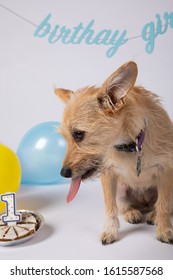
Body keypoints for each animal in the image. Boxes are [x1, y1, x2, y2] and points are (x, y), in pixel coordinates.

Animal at [55, 61, 173, 245]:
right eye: (65, 137)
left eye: (78, 134)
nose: (63, 173)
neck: (130, 145)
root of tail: (144, 204)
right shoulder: (108, 175)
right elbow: (110, 206)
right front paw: (110, 230)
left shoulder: (166, 170)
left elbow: (164, 204)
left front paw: (164, 229)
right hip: (122, 190)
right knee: (124, 207)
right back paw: (132, 213)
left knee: (157, 205)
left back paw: (152, 215)